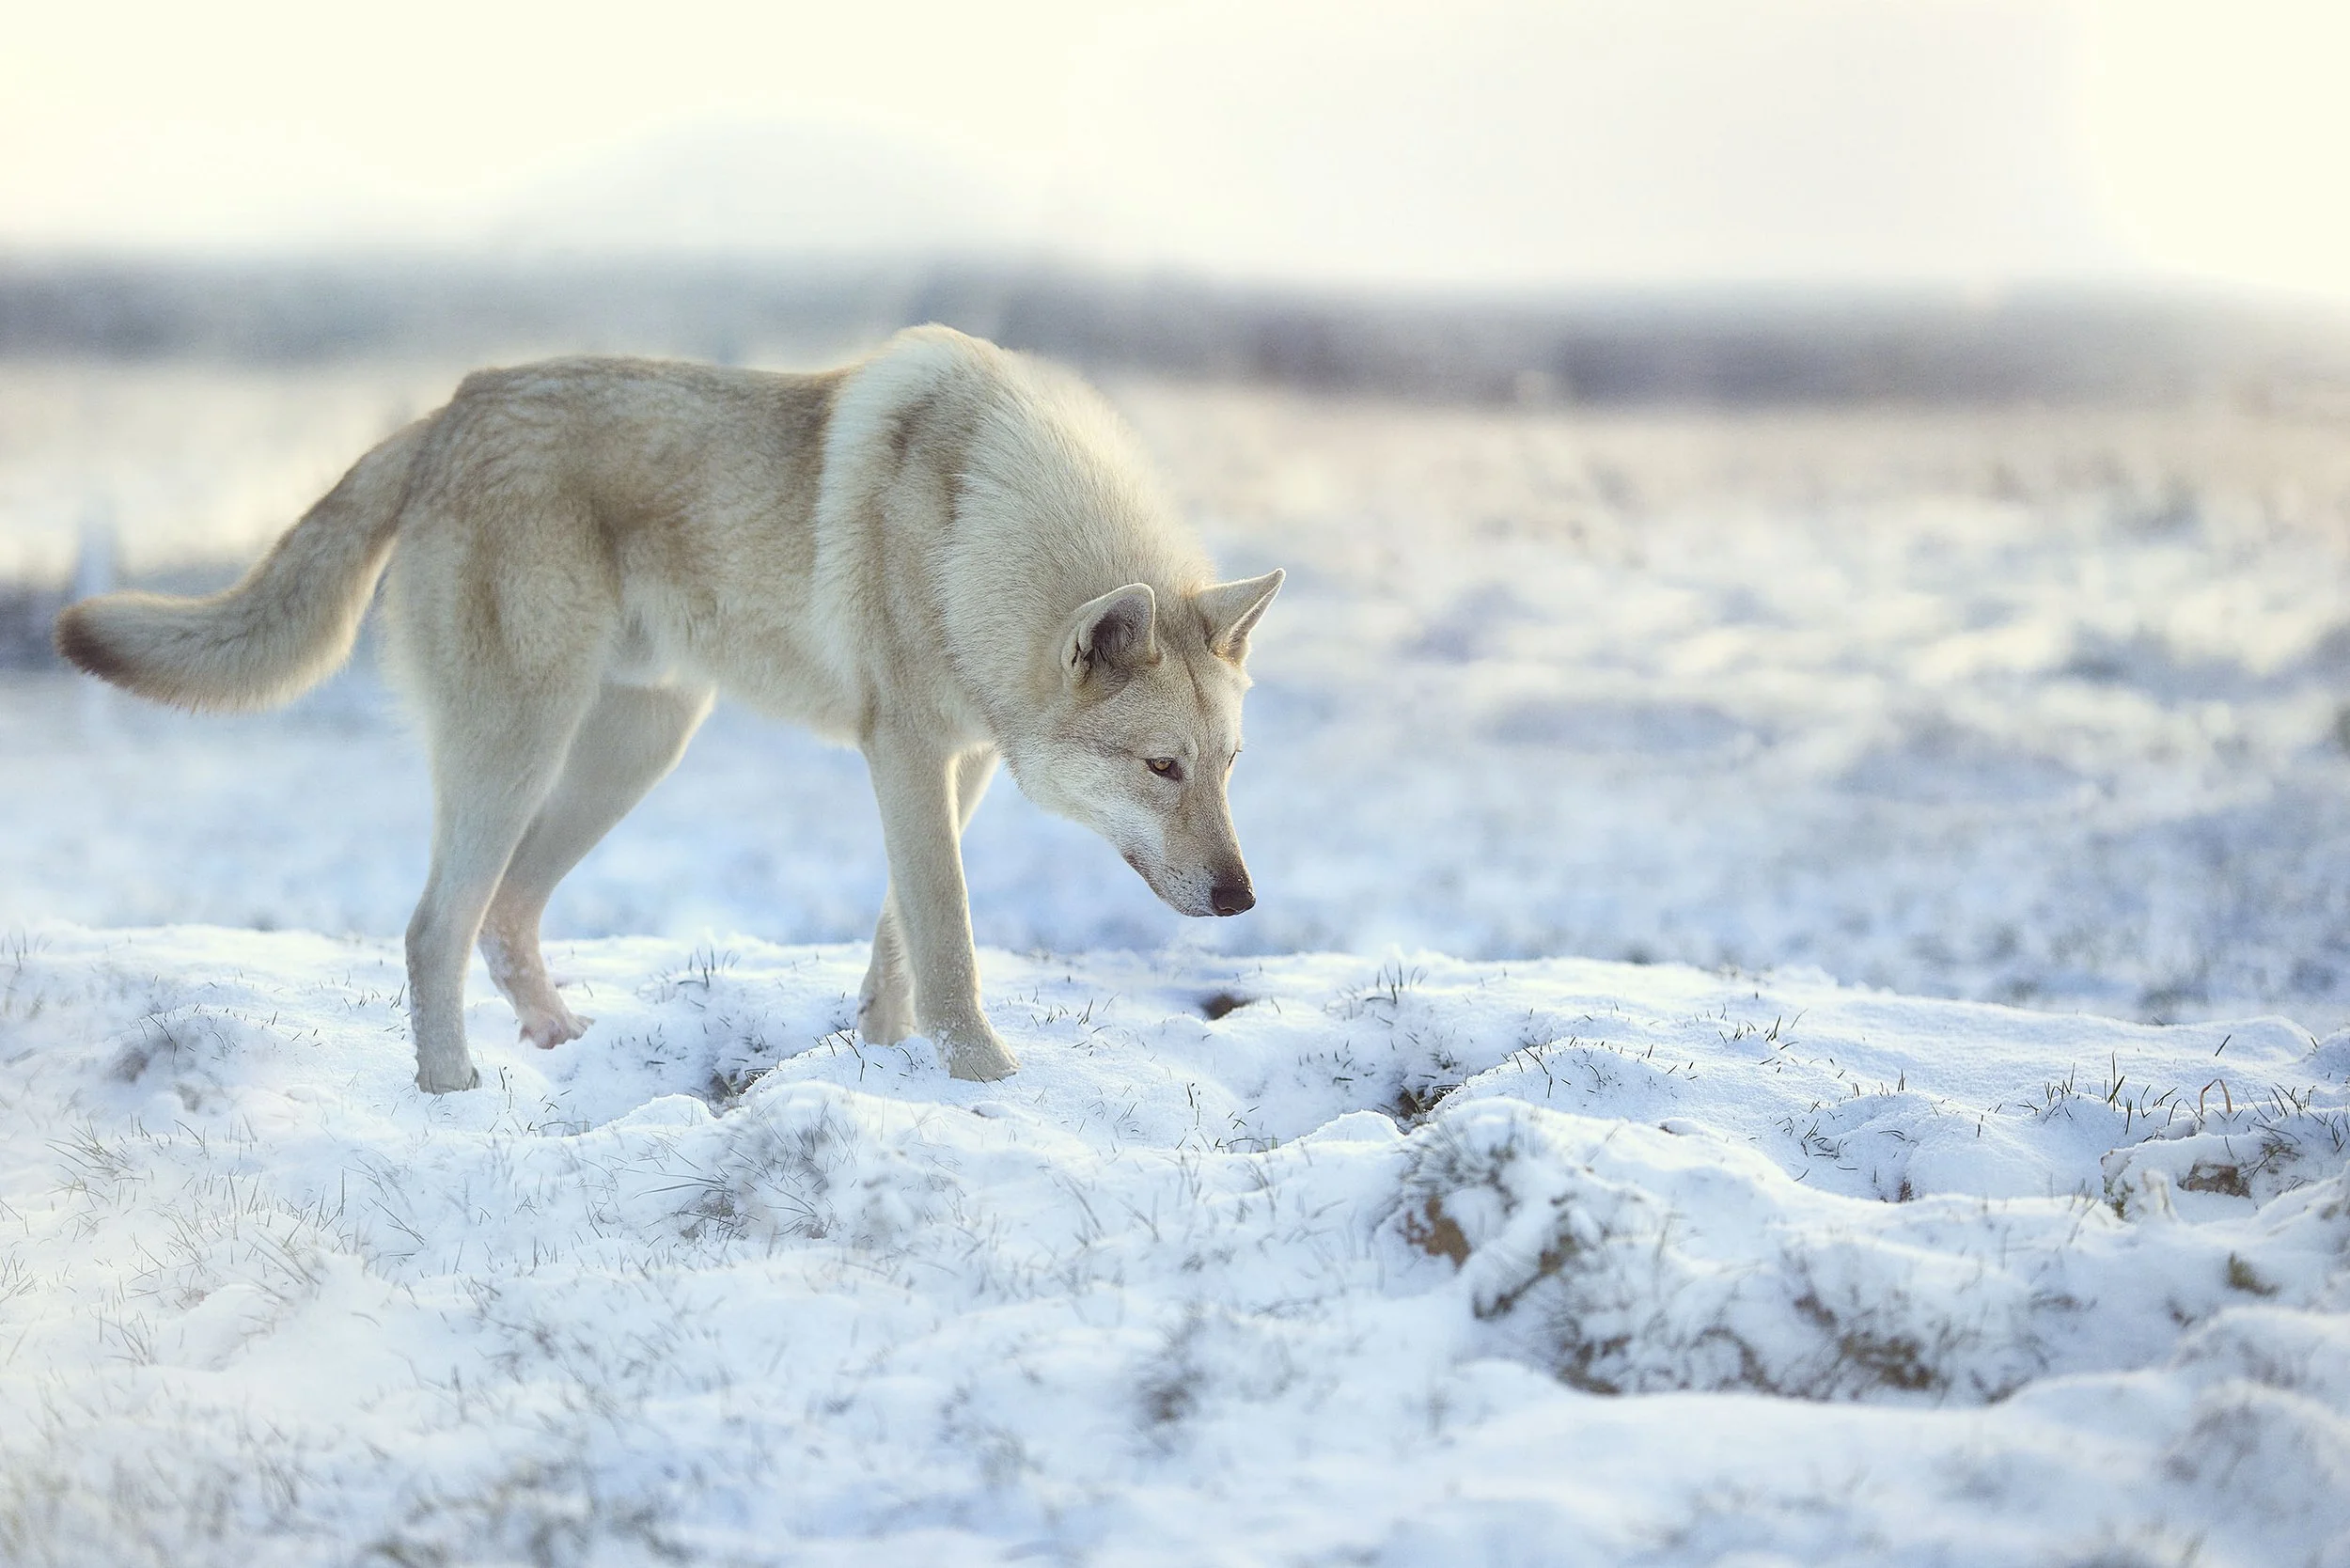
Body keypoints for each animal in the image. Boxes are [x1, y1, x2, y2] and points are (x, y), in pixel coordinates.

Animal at [56, 326, 1283, 1093]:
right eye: (1161, 768)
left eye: (1229, 765)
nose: (1240, 898)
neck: (977, 527)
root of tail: (452, 410)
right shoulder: (906, 755)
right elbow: (946, 935)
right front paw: (980, 1075)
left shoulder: (957, 766)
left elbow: (900, 941)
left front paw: (889, 1063)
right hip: (521, 749)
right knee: (433, 927)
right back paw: (452, 1092)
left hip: (631, 751)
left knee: (504, 914)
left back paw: (553, 1036)